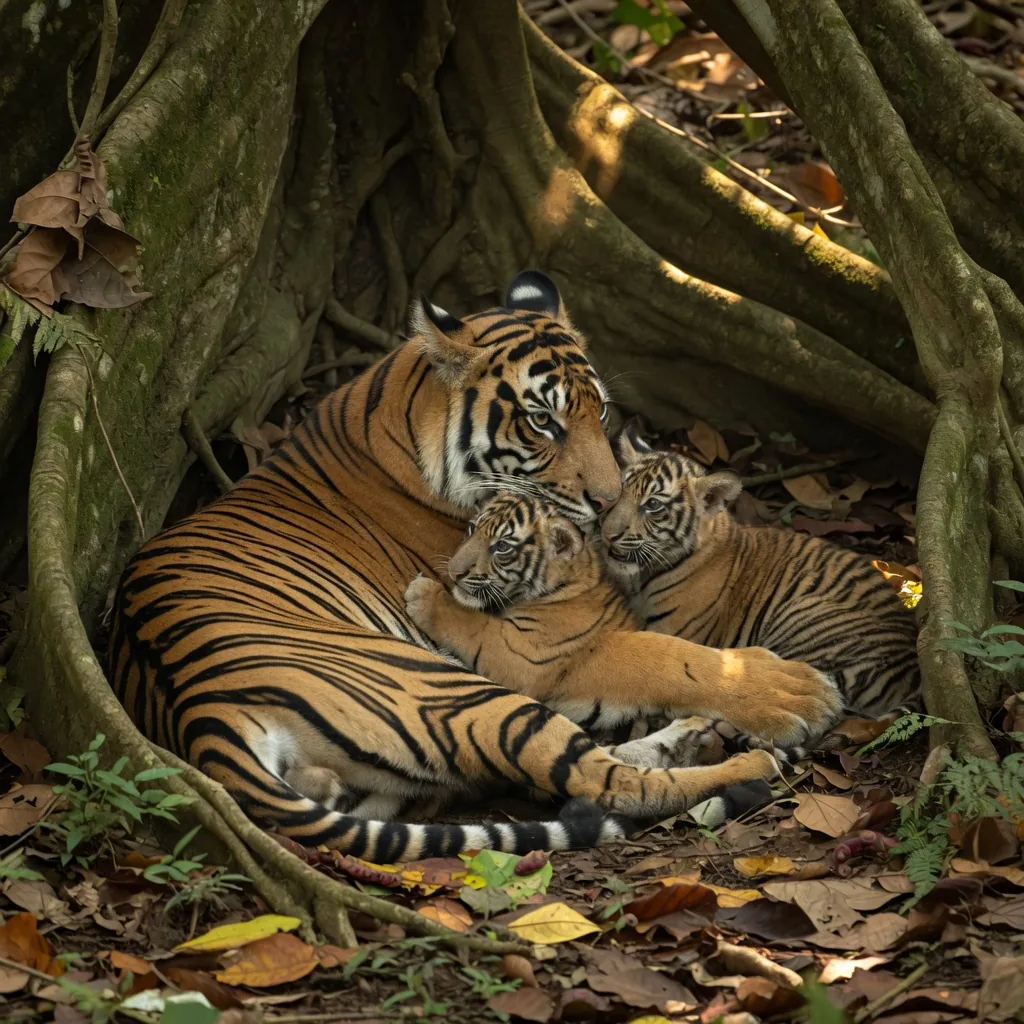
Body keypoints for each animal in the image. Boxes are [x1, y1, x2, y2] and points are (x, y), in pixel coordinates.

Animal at [109, 270, 837, 863]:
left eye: (598, 409)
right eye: (542, 422)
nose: (607, 506)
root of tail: (201, 719)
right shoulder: (543, 648)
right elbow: (665, 653)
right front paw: (791, 691)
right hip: (461, 693)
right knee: (611, 783)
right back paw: (746, 762)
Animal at [600, 420, 921, 752]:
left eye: (652, 505)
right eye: (619, 494)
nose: (607, 534)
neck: (644, 575)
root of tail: (913, 671)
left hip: (802, 618)